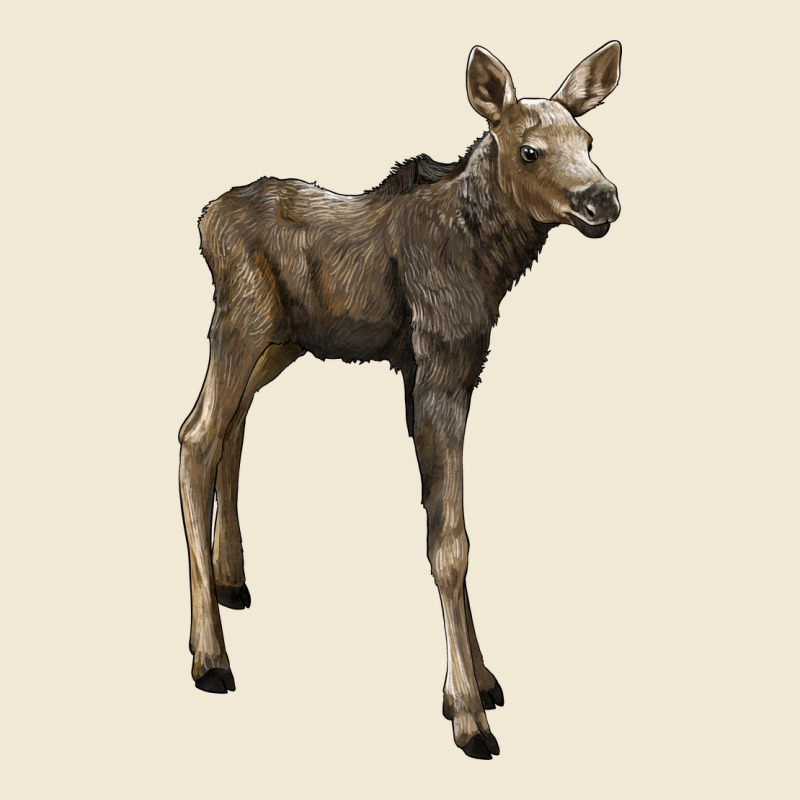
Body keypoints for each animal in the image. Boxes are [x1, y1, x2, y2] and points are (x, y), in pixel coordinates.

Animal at [179, 42, 622, 759]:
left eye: (587, 140)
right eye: (530, 150)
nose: (602, 197)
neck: (487, 260)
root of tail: (204, 217)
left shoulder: (454, 370)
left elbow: (449, 520)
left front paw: (479, 682)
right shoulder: (438, 365)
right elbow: (450, 540)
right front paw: (469, 713)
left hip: (282, 340)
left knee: (232, 425)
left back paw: (231, 581)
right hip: (243, 319)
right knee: (195, 435)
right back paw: (210, 657)